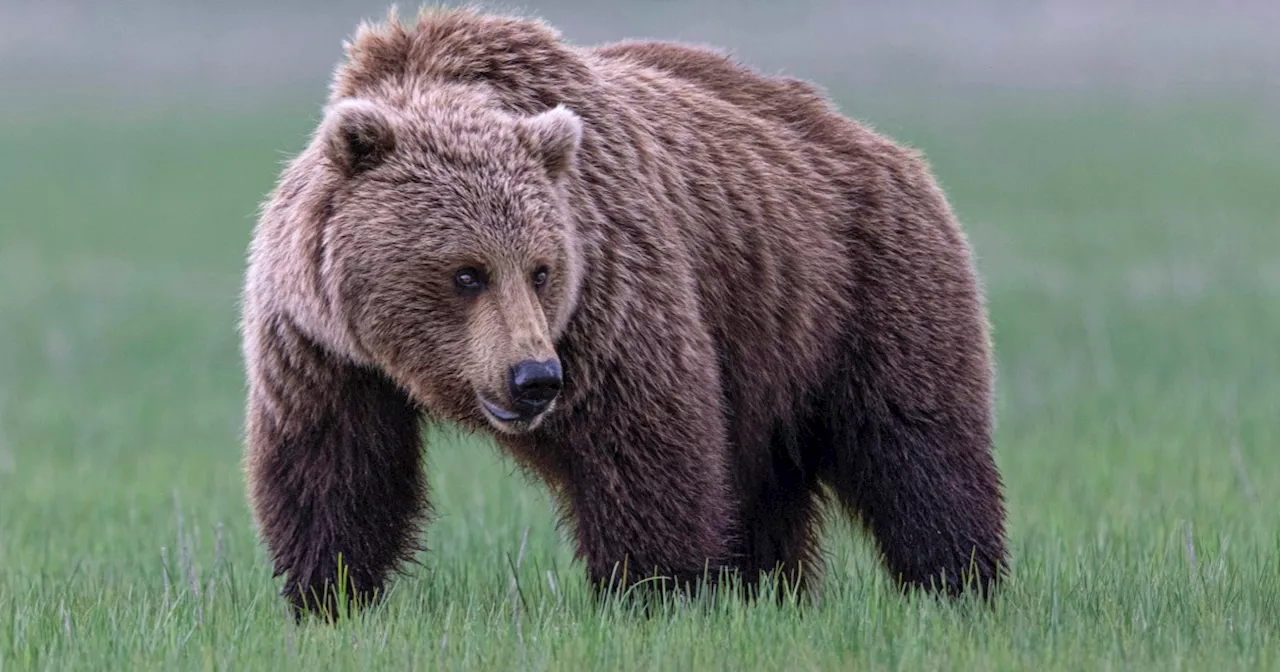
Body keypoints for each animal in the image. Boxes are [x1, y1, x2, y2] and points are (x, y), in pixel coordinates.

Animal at [240, 5, 1008, 622]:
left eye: (541, 269)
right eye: (466, 272)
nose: (533, 378)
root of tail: (880, 143)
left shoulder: (609, 295)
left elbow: (644, 442)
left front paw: (654, 591)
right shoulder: (321, 347)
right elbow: (335, 467)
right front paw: (326, 596)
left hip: (861, 286)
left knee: (916, 444)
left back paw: (958, 582)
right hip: (768, 348)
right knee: (765, 482)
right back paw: (768, 588)